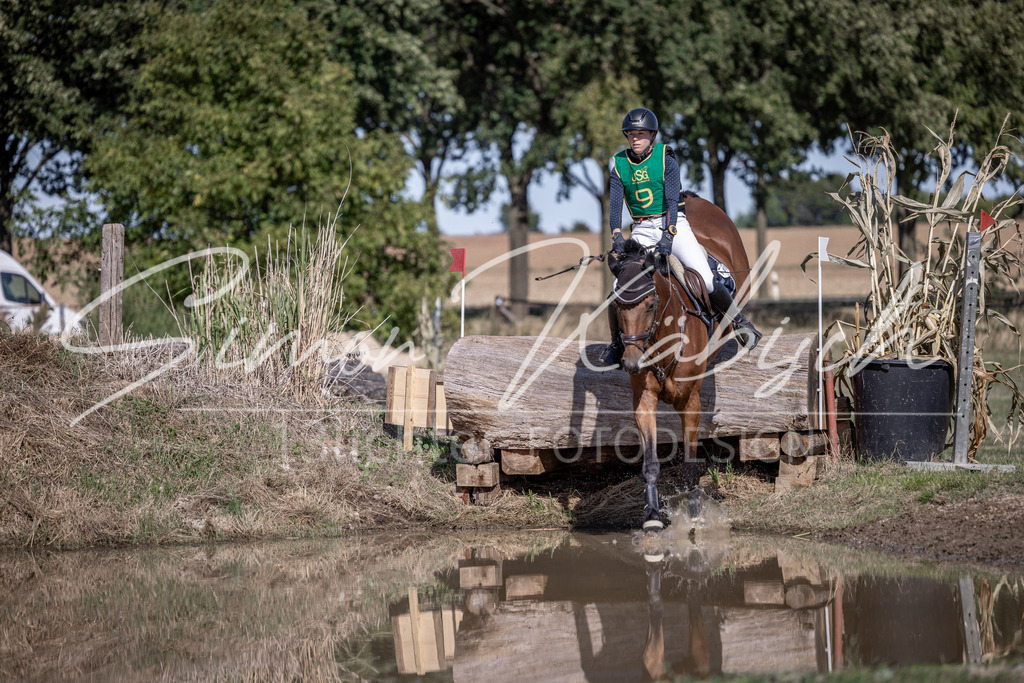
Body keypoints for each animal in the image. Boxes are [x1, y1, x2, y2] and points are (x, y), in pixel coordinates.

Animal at [607, 195, 752, 531]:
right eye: (617, 305)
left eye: (650, 305)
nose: (631, 362)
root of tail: (695, 200)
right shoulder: (644, 400)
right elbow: (650, 462)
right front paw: (652, 515)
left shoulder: (690, 401)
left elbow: (689, 463)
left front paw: (695, 514)